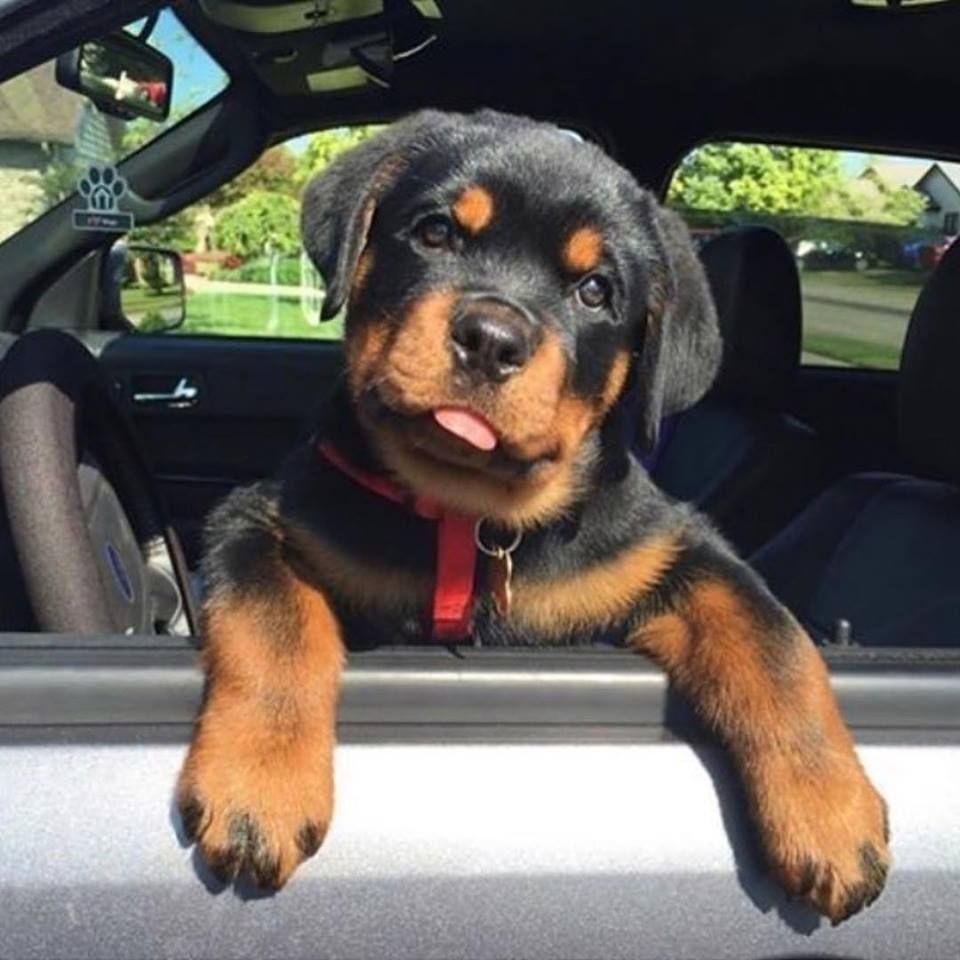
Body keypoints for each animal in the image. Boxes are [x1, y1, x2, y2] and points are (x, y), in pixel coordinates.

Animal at [176, 110, 888, 924]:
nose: (491, 338)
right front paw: (258, 784)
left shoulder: (677, 553)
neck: (472, 512)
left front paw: (834, 815)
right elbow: (275, 623)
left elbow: (776, 643)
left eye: (595, 291)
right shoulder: (261, 518)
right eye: (435, 233)